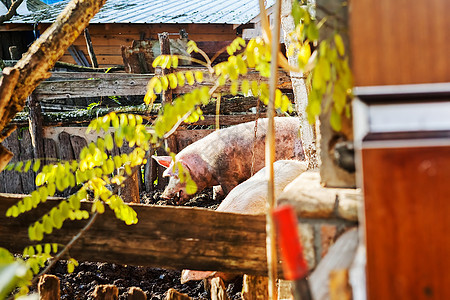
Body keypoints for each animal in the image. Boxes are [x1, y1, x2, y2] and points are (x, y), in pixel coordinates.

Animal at [153, 117, 304, 204]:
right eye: (169, 177)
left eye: (180, 174)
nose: (163, 197)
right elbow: (217, 190)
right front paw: (215, 197)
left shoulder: (227, 174)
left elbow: (229, 189)